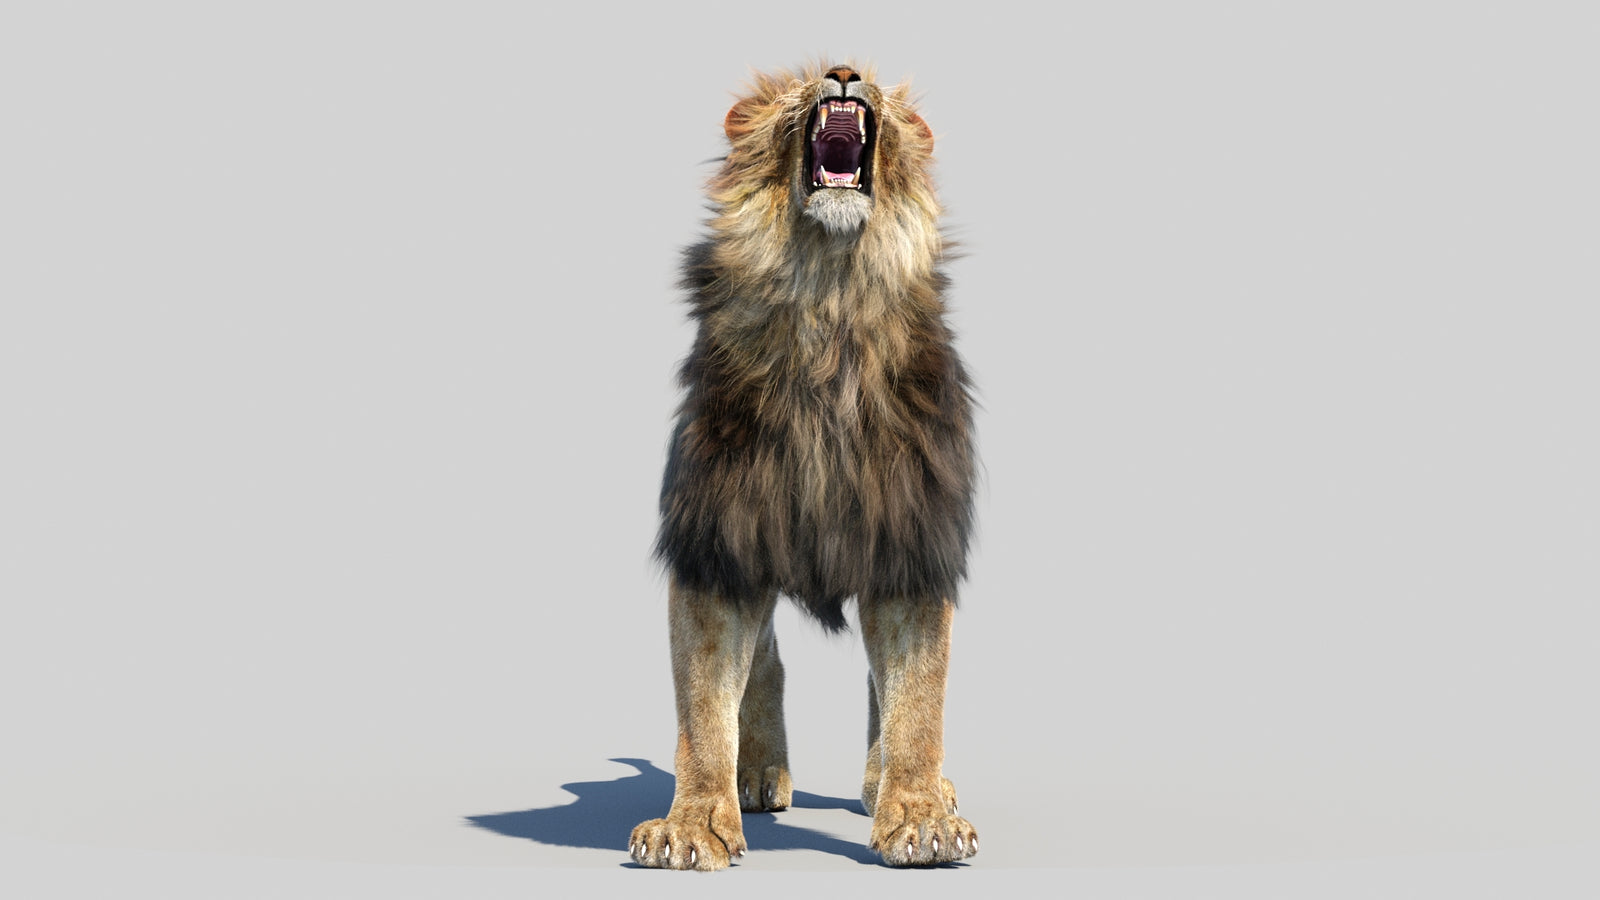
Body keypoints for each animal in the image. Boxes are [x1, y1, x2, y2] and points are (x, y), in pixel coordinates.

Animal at [629, 63, 978, 870]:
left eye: (874, 77)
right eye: (797, 84)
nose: (846, 73)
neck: (830, 297)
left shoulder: (911, 540)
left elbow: (917, 697)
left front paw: (919, 817)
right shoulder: (718, 541)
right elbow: (703, 703)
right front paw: (693, 824)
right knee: (765, 658)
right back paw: (756, 773)